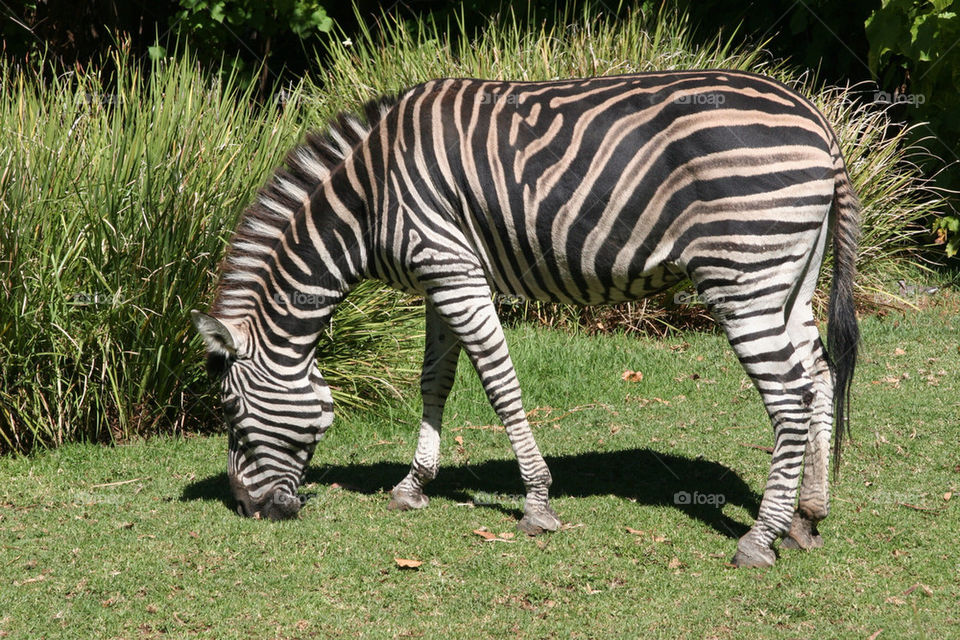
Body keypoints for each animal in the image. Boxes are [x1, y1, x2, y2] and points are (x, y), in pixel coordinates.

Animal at [191, 71, 860, 568]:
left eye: (229, 412)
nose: (248, 509)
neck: (371, 198)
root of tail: (819, 123)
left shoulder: (453, 270)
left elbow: (499, 384)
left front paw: (536, 504)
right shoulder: (443, 275)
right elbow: (435, 381)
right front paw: (414, 486)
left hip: (743, 275)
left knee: (791, 395)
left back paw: (760, 538)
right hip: (789, 277)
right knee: (821, 375)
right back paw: (807, 518)